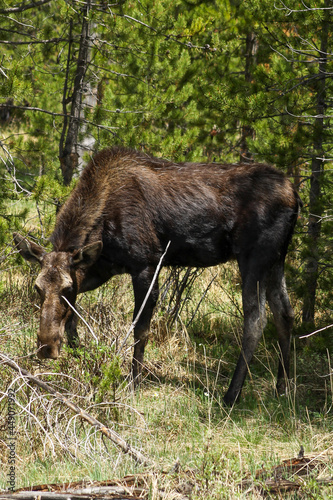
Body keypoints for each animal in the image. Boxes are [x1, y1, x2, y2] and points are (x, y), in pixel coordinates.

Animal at [13, 146, 300, 404]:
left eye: (67, 287)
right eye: (37, 287)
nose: (46, 346)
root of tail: (295, 196)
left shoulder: (146, 263)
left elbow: (140, 328)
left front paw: (133, 382)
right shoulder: (101, 268)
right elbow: (73, 319)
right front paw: (88, 361)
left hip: (254, 258)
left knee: (256, 319)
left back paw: (232, 394)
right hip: (277, 259)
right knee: (285, 313)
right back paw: (282, 388)